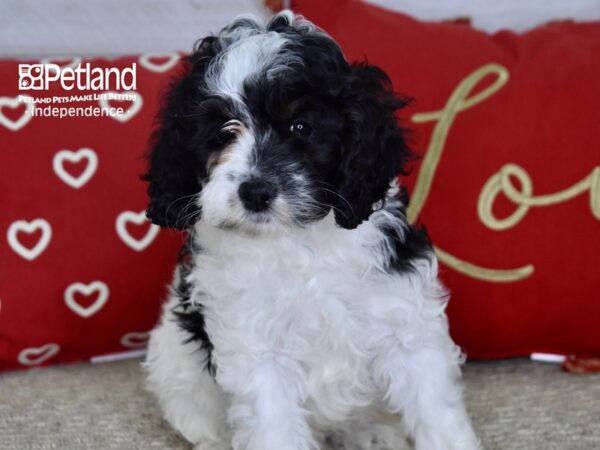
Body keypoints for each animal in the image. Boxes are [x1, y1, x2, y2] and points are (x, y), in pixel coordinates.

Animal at [143, 10, 480, 450]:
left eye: (301, 127)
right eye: (222, 132)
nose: (255, 191)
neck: (301, 243)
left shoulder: (405, 323)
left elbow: (436, 411)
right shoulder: (258, 354)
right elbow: (273, 427)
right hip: (176, 367)